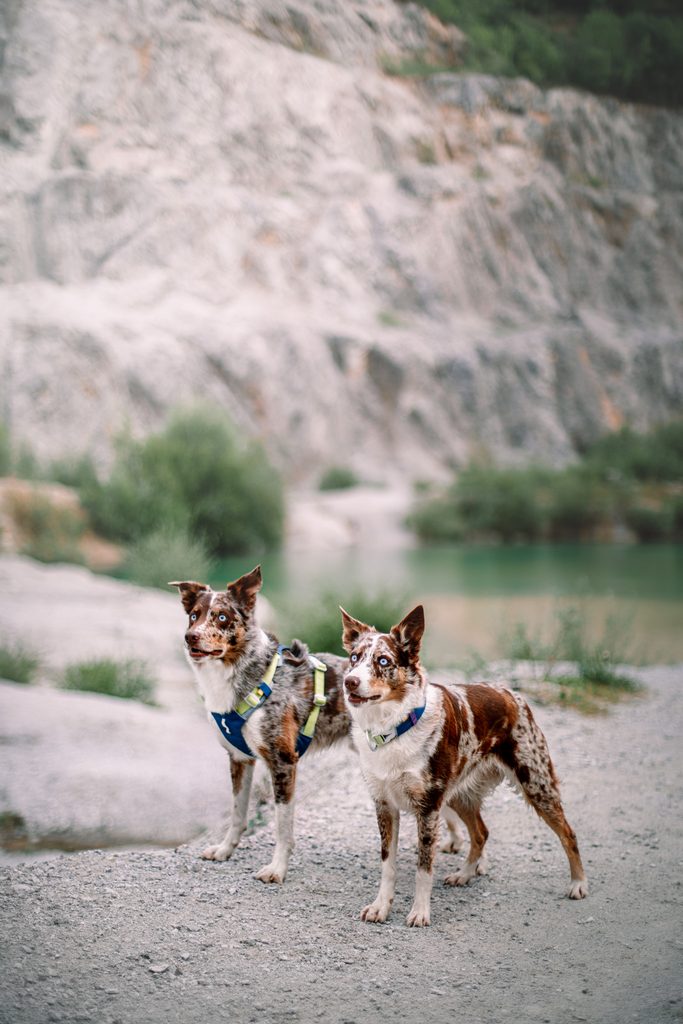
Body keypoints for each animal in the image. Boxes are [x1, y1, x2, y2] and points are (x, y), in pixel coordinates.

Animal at [170, 566, 350, 883]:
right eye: (193, 615)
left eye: (222, 617)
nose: (190, 637)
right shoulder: (240, 759)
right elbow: (238, 812)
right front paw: (225, 850)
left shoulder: (283, 762)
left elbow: (282, 826)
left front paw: (277, 869)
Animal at [340, 603, 588, 927]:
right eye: (354, 658)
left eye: (383, 661)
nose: (350, 681)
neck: (394, 726)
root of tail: (511, 693)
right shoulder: (384, 804)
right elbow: (387, 865)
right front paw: (381, 907)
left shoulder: (429, 808)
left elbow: (424, 868)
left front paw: (420, 911)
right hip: (459, 794)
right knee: (481, 833)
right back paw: (465, 874)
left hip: (535, 782)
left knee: (568, 833)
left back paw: (578, 883)